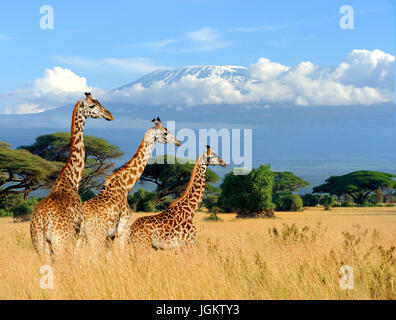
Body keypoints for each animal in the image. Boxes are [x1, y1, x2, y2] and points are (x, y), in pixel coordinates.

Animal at [29, 91, 111, 258]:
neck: (71, 179)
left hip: (39, 245)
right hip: (62, 242)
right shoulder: (80, 232)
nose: (109, 115)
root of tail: (43, 220)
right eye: (92, 105)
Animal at [82, 116, 181, 251]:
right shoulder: (123, 231)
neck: (126, 185)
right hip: (96, 235)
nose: (178, 142)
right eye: (165, 132)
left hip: (82, 237)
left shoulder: (111, 236)